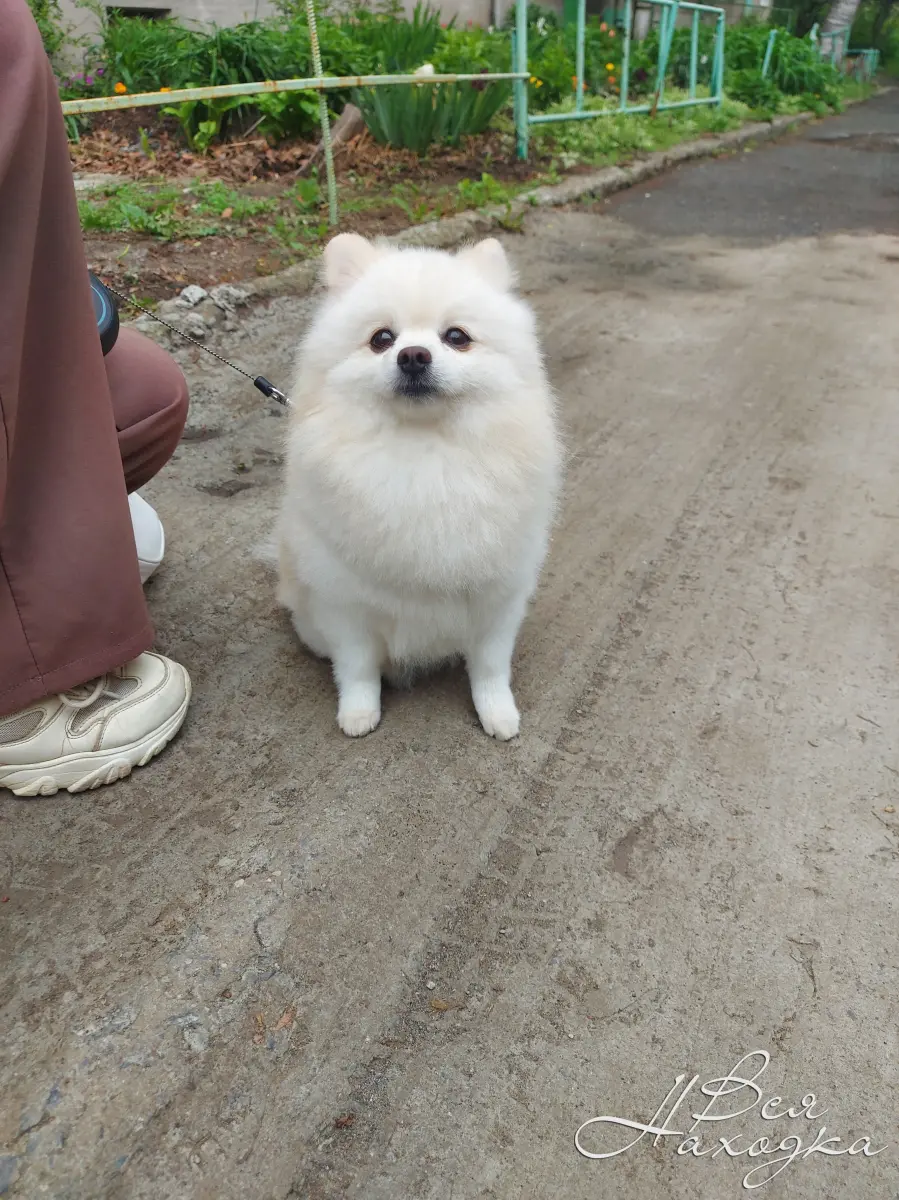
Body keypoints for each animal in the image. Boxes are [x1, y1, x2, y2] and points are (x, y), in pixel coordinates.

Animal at [274, 231, 561, 739]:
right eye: (381, 339)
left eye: (457, 337)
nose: (412, 355)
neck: (424, 452)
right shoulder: (344, 600)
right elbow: (357, 667)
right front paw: (359, 712)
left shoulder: (498, 597)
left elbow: (490, 666)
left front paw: (497, 712)